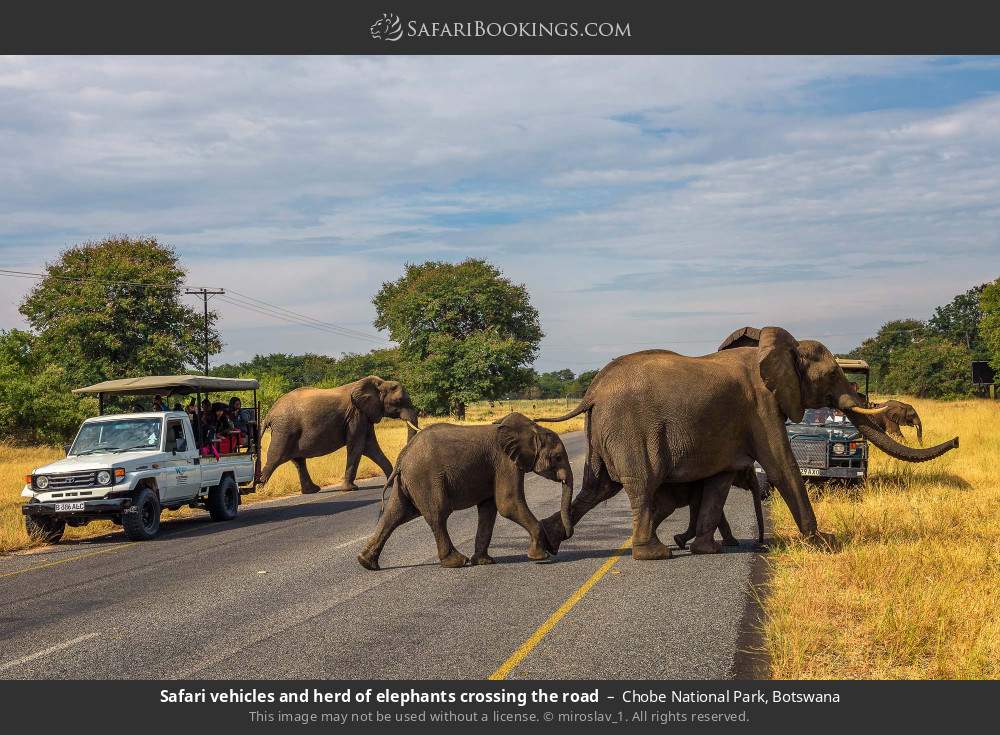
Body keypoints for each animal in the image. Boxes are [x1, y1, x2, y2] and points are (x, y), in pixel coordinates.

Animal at [260, 375, 418, 494]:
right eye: (398, 401)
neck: (379, 383)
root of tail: (269, 414)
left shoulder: (364, 415)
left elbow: (370, 447)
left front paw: (392, 483)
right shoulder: (356, 415)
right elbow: (357, 446)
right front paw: (351, 489)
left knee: (298, 461)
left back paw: (312, 490)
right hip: (284, 430)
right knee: (275, 458)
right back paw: (259, 490)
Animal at [357, 413, 574, 570]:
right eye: (557, 457)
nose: (555, 547)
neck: (532, 430)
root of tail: (402, 457)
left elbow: (489, 509)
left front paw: (484, 562)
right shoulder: (505, 463)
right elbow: (508, 504)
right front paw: (540, 557)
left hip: (409, 481)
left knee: (395, 514)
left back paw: (366, 563)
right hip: (425, 478)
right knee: (437, 514)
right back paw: (456, 562)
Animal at [534, 326, 959, 561]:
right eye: (831, 376)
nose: (955, 440)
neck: (779, 347)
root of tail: (592, 393)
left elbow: (720, 480)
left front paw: (708, 549)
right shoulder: (761, 406)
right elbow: (783, 466)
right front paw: (825, 543)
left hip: (604, 434)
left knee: (597, 488)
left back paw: (545, 544)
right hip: (630, 430)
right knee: (640, 484)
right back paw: (651, 553)